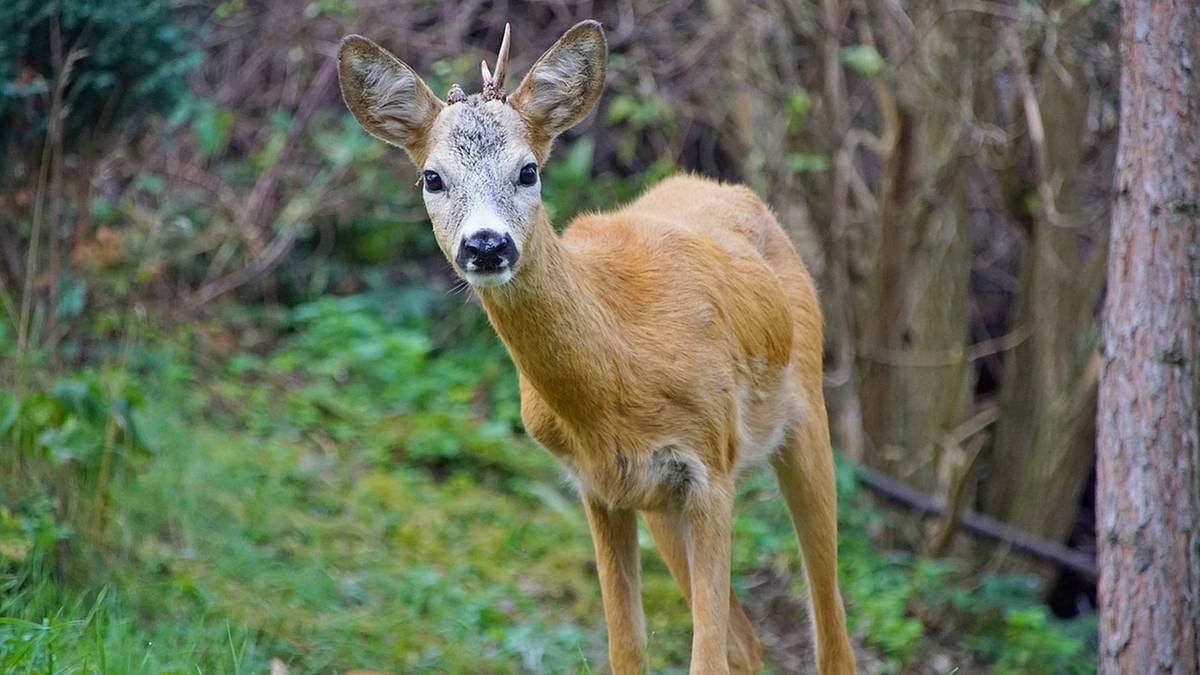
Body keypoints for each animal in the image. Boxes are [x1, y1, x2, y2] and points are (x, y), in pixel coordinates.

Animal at [338, 18, 859, 667]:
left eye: (528, 170)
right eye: (432, 178)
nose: (487, 245)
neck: (615, 375)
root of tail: (734, 192)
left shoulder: (710, 466)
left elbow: (704, 655)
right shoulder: (599, 488)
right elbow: (627, 648)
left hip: (805, 418)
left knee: (830, 629)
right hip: (660, 506)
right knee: (747, 641)